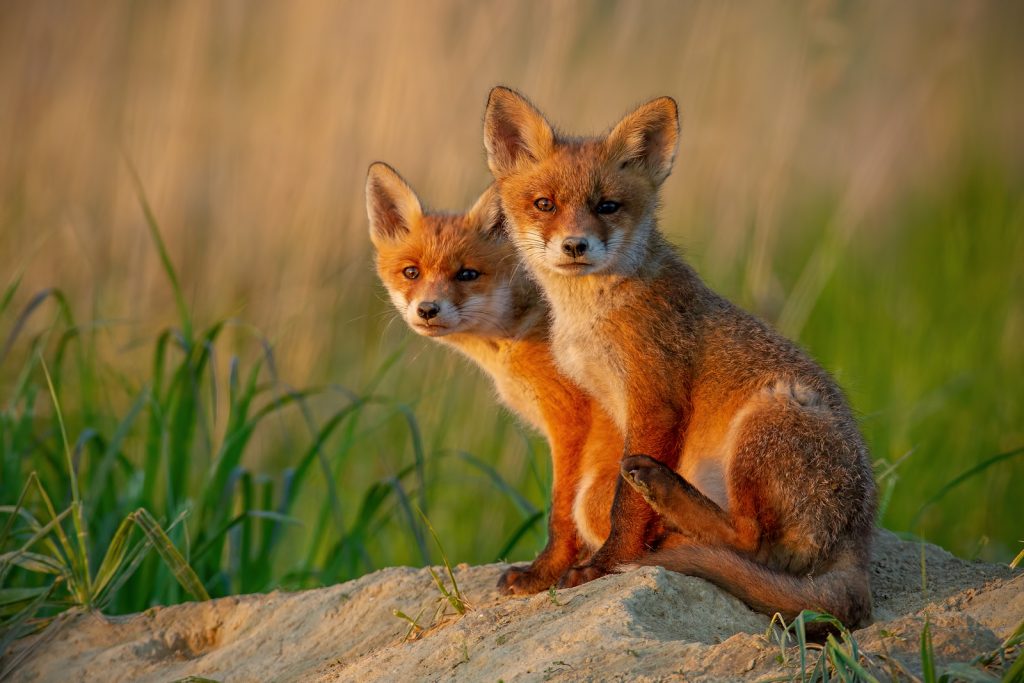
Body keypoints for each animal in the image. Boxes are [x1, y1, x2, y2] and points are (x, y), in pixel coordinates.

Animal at [365, 162, 625, 595]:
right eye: (411, 272)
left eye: (468, 274)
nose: (427, 310)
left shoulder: (570, 420)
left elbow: (560, 513)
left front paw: (544, 574)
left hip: (595, 494)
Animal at [481, 87, 876, 627]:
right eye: (544, 204)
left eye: (607, 206)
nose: (575, 245)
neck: (590, 317)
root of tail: (862, 535)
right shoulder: (596, 408)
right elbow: (566, 507)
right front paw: (546, 571)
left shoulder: (655, 400)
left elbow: (623, 509)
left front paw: (605, 565)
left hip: (766, 420)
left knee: (754, 543)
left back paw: (664, 500)